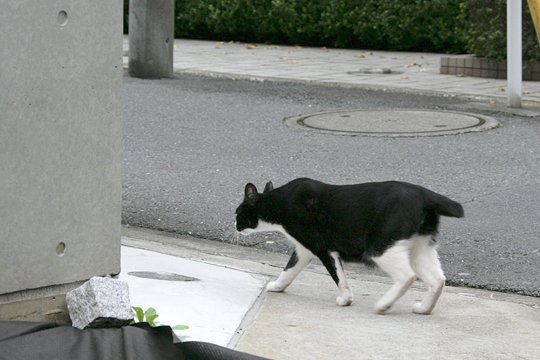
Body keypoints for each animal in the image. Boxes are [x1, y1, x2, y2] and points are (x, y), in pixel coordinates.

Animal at [236, 179, 464, 314]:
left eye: (238, 213)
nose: (235, 226)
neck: (279, 202)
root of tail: (424, 194)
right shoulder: (304, 250)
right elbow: (289, 270)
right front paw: (277, 286)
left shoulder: (322, 247)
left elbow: (338, 276)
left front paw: (345, 299)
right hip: (420, 247)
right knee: (438, 280)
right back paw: (423, 308)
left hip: (380, 248)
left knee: (408, 276)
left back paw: (383, 305)